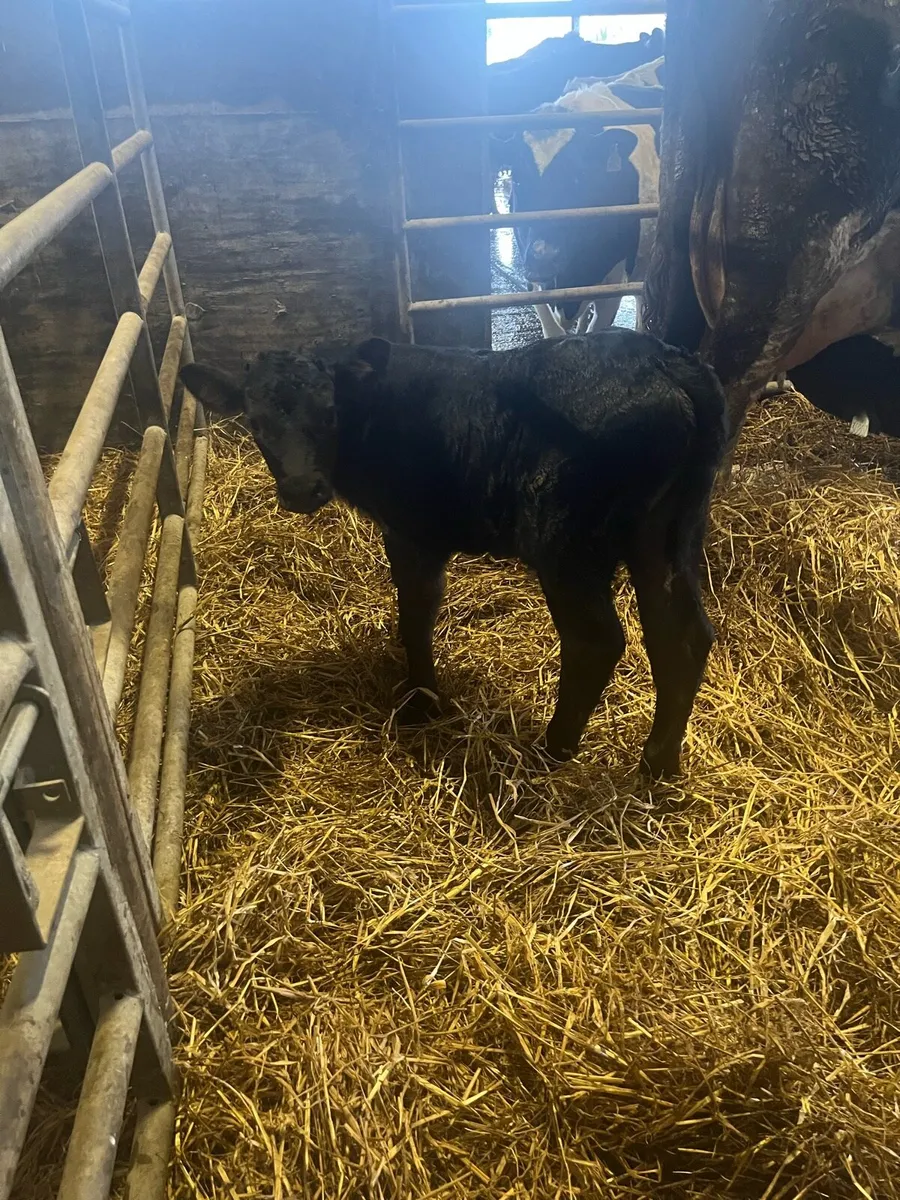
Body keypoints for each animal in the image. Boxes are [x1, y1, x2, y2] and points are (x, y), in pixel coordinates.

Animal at [181, 329, 726, 778]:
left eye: (329, 414)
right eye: (255, 423)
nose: (301, 489)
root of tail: (663, 358)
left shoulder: (412, 532)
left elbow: (416, 616)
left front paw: (423, 701)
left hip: (565, 542)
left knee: (597, 641)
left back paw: (551, 749)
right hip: (667, 531)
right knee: (681, 635)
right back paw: (658, 764)